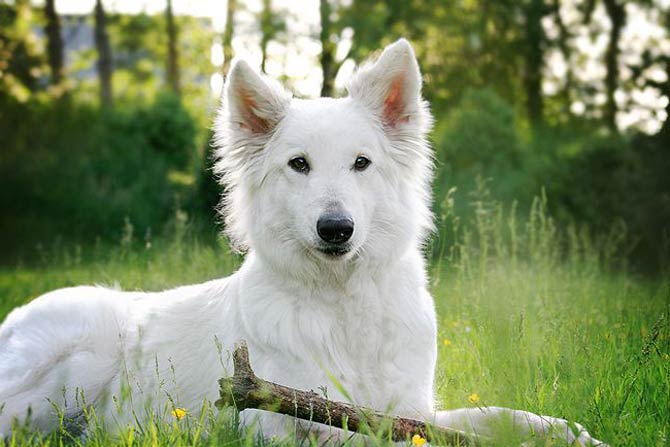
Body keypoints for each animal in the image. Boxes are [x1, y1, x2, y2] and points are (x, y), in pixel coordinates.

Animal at [0, 40, 608, 446]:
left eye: (361, 163)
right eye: (299, 165)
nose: (335, 229)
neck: (342, 306)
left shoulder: (413, 410)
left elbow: (496, 418)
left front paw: (568, 432)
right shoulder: (279, 419)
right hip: (74, 361)